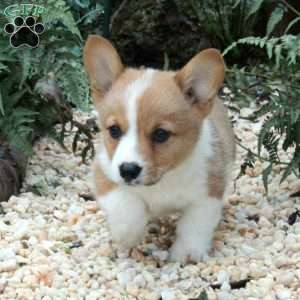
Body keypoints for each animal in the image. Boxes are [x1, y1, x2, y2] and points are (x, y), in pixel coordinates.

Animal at [83, 35, 236, 262]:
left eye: (161, 134)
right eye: (114, 130)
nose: (128, 170)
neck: (163, 180)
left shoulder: (207, 196)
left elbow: (194, 227)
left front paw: (186, 254)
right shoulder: (105, 174)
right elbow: (126, 209)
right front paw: (127, 237)